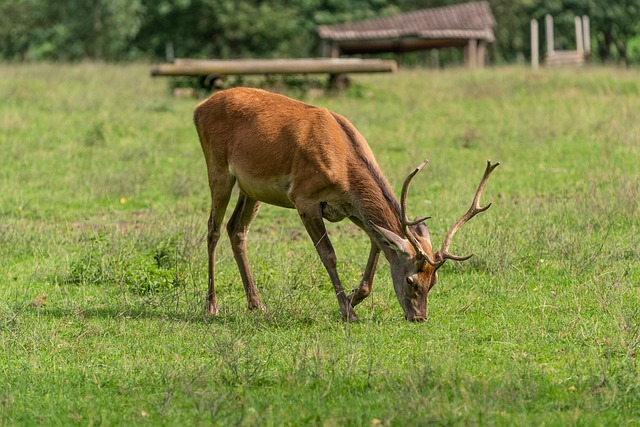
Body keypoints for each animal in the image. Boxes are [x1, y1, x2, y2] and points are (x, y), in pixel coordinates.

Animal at [195, 87, 500, 322]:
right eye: (410, 280)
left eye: (433, 281)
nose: (419, 317)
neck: (344, 168)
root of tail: (199, 107)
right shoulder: (304, 197)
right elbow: (329, 254)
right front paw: (347, 311)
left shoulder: (350, 208)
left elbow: (377, 242)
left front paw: (354, 297)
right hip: (217, 168)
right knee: (213, 229)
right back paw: (212, 305)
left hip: (252, 189)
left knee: (237, 229)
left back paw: (256, 303)